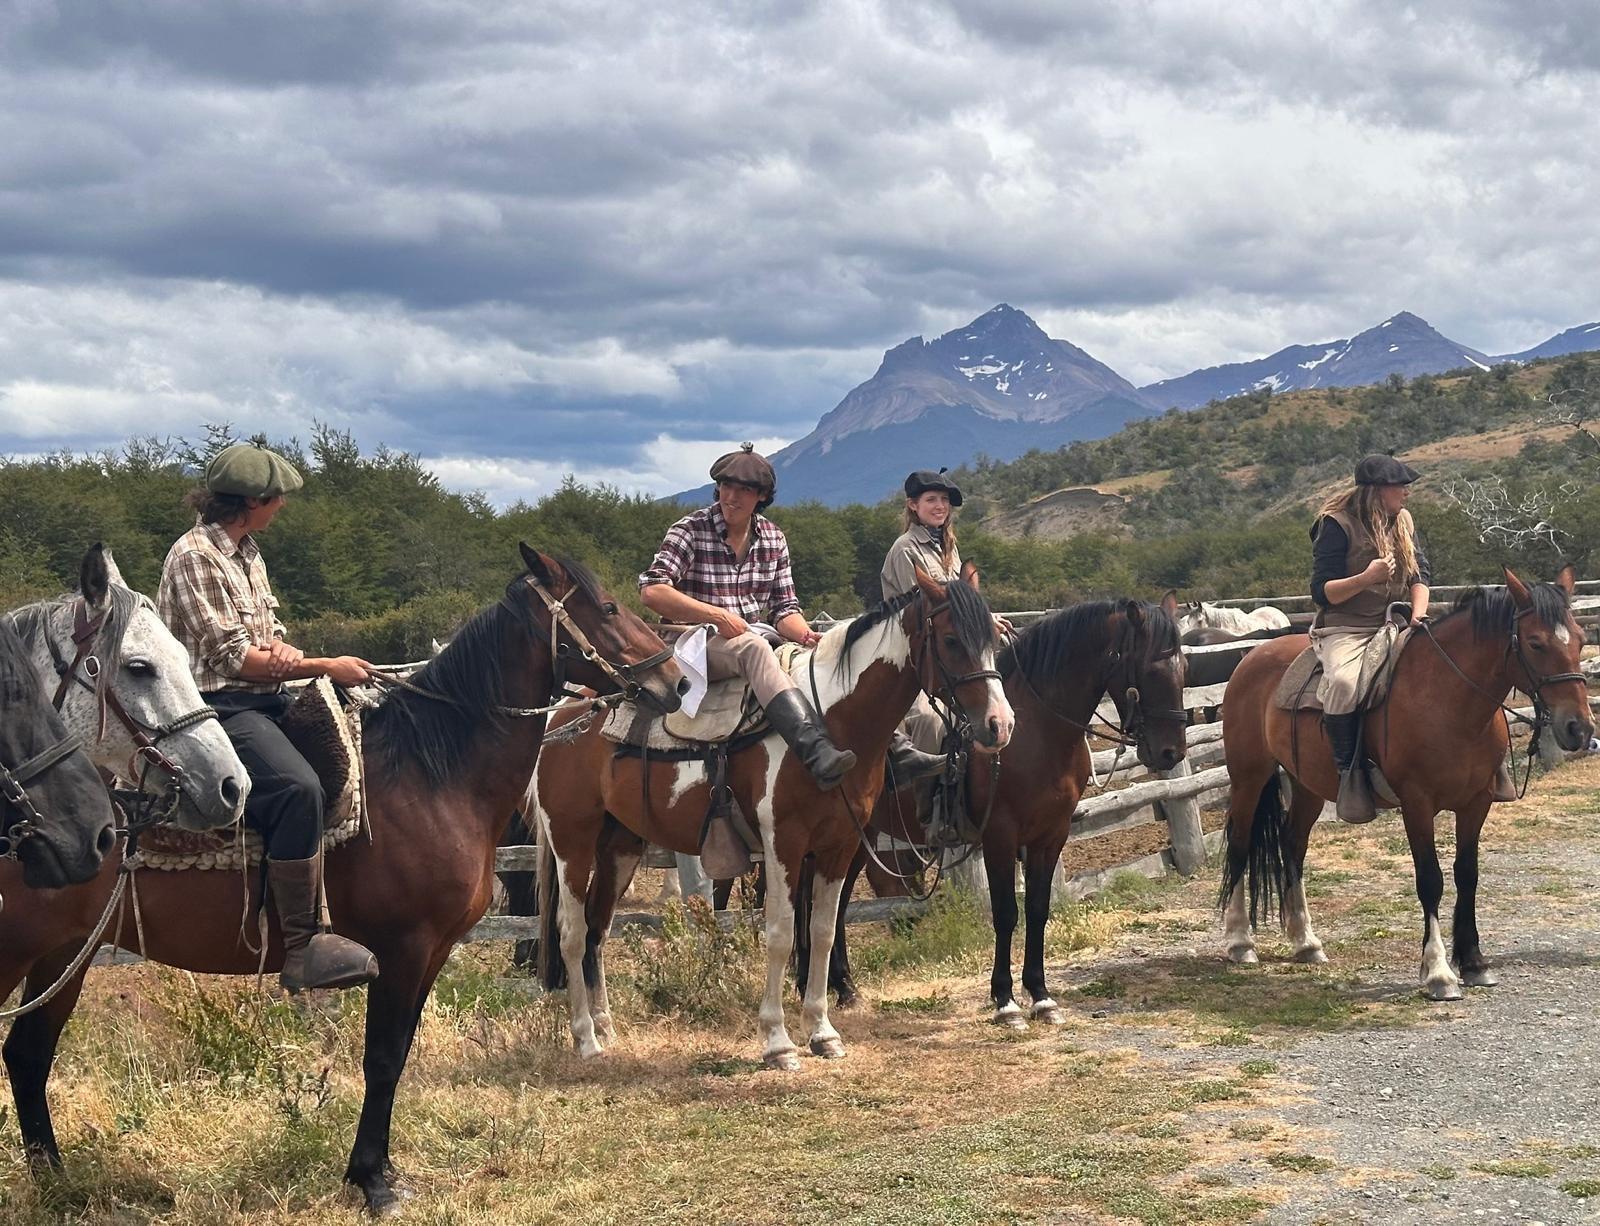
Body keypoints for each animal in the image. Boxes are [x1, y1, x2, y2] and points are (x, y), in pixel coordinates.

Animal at [534, 569, 1011, 1069]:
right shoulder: (784, 842)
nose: (1000, 725)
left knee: (598, 929)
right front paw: (778, 1041)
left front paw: (822, 1032)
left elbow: (822, 932)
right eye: (952, 640)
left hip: (620, 846)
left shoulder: (839, 845)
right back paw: (585, 1037)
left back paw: (605, 1028)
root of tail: (564, 717)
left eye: (996, 639)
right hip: (572, 841)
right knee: (572, 932)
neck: (829, 725)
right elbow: (781, 933)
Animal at [800, 595, 1190, 1024]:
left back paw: (840, 987)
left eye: (1184, 668)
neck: (1036, 732)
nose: (1171, 752)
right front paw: (1005, 1000)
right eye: (1150, 668)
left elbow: (1038, 908)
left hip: (852, 838)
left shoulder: (1051, 835)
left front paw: (1041, 995)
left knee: (828, 905)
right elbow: (1005, 912)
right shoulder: (999, 835)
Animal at [1222, 569, 1587, 1005]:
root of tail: (1253, 657)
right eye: (1535, 642)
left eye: (1581, 639)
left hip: (1306, 786)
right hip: (1249, 777)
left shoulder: (1476, 803)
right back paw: (1240, 941)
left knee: (1292, 846)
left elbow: (1467, 875)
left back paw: (1306, 941)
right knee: (1240, 847)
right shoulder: (1417, 804)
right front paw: (1440, 973)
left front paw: (1474, 962)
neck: (1448, 699)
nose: (1579, 727)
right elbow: (1431, 880)